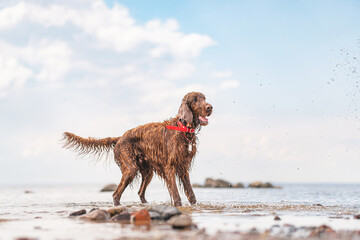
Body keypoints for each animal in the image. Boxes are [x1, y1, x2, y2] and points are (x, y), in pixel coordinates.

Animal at [63, 92, 212, 206]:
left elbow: (191, 193)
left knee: (140, 192)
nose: (210, 107)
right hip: (130, 168)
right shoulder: (170, 167)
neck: (182, 129)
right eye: (195, 99)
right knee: (116, 194)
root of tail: (120, 137)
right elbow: (176, 194)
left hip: (147, 171)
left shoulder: (183, 168)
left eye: (204, 98)